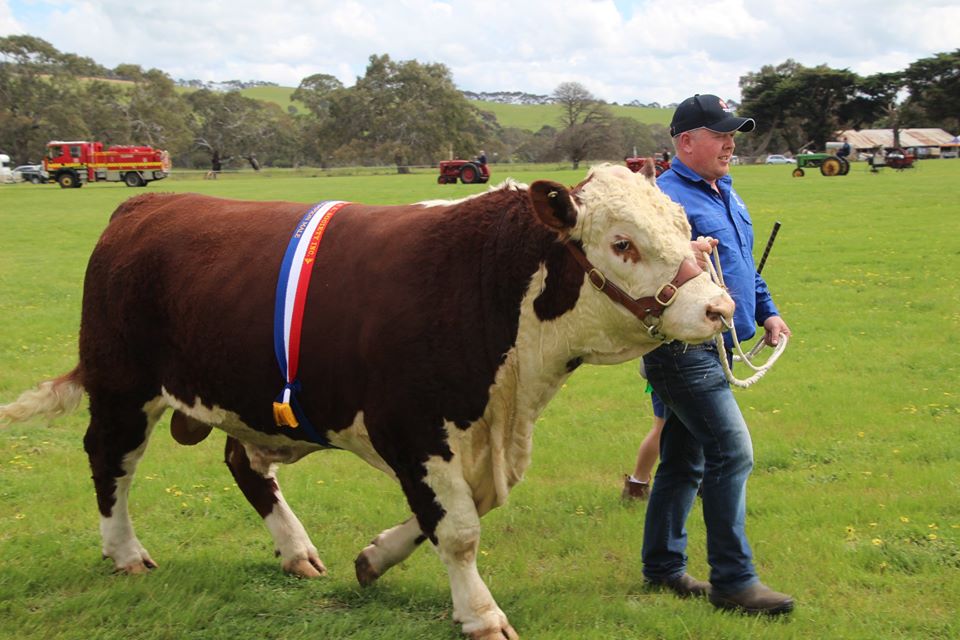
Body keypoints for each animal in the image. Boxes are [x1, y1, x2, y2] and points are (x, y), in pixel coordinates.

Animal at [1, 165, 736, 640]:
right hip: (122, 386)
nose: (720, 308)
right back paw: (124, 552)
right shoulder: (412, 427)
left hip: (247, 399)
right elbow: (459, 527)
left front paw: (374, 557)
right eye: (622, 243)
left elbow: (461, 509)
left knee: (243, 463)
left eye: (685, 228)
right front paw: (480, 614)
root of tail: (145, 206)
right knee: (111, 463)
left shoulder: (464, 436)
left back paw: (297, 551)